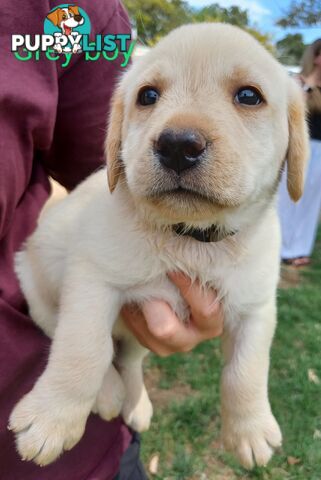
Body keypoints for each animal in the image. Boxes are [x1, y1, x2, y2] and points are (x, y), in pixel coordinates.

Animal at [9, 23, 308, 468]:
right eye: (148, 96)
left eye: (249, 96)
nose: (178, 145)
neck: (190, 237)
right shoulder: (92, 281)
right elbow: (83, 350)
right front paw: (51, 418)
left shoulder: (256, 306)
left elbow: (246, 372)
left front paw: (250, 430)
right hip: (35, 280)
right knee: (75, 337)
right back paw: (109, 393)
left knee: (130, 360)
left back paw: (135, 403)